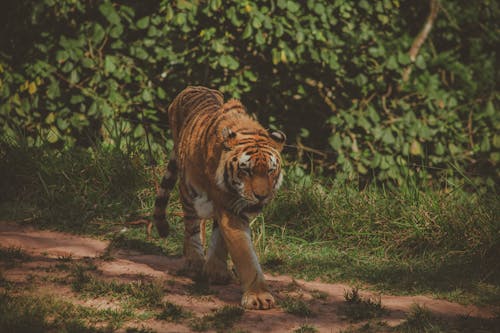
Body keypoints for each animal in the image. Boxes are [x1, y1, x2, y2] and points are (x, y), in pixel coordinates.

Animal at [152, 85, 286, 308]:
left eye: (270, 170)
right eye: (247, 170)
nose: (262, 196)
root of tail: (191, 87)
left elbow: (221, 239)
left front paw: (217, 272)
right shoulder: (229, 206)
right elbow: (244, 253)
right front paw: (258, 296)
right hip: (188, 191)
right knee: (192, 227)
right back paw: (195, 262)